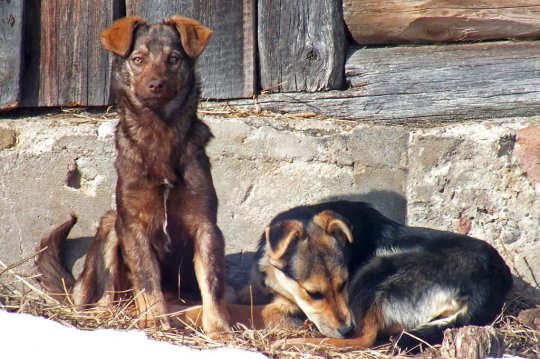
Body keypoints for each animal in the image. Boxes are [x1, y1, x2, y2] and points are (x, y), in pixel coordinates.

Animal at [35, 15, 230, 336]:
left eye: (173, 59)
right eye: (138, 60)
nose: (156, 85)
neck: (159, 131)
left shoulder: (206, 225)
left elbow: (212, 282)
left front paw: (218, 327)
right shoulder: (134, 226)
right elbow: (147, 279)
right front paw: (154, 320)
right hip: (111, 226)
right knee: (103, 296)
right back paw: (108, 314)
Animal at [238, 201, 512, 350]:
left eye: (344, 284)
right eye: (313, 293)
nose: (346, 328)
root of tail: (489, 286)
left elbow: (252, 311)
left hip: (378, 270)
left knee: (365, 339)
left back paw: (297, 342)